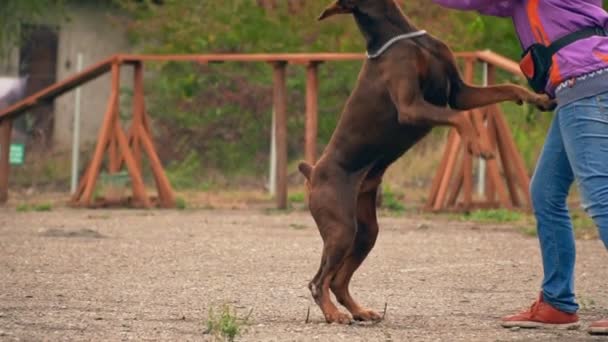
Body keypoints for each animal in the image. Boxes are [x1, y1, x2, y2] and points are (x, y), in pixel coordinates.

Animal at [298, 0, 556, 324]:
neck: (401, 34)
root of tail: (313, 172)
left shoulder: (459, 91)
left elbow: (507, 88)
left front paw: (538, 98)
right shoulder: (411, 107)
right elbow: (460, 118)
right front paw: (479, 144)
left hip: (365, 230)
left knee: (338, 279)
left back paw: (359, 311)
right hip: (341, 227)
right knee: (319, 281)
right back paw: (334, 314)